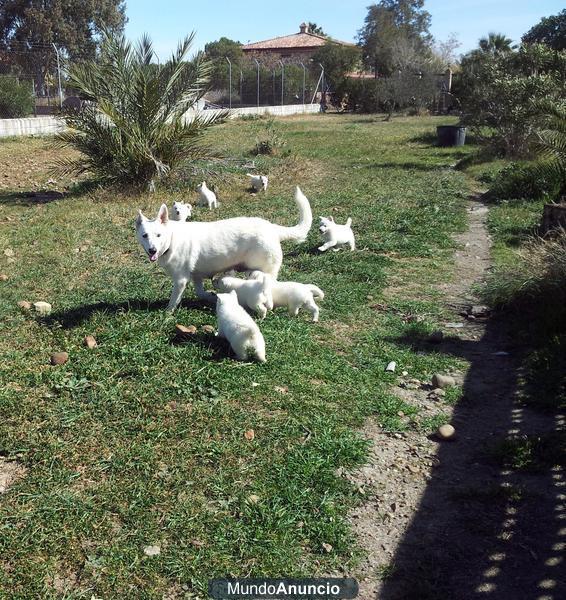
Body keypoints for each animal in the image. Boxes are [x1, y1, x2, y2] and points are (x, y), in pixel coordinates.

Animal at [136, 186, 316, 310]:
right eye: (145, 235)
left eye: (158, 235)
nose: (152, 250)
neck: (172, 239)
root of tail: (272, 228)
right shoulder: (196, 276)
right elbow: (201, 293)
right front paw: (212, 297)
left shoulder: (180, 281)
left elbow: (173, 301)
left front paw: (167, 313)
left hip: (266, 272)